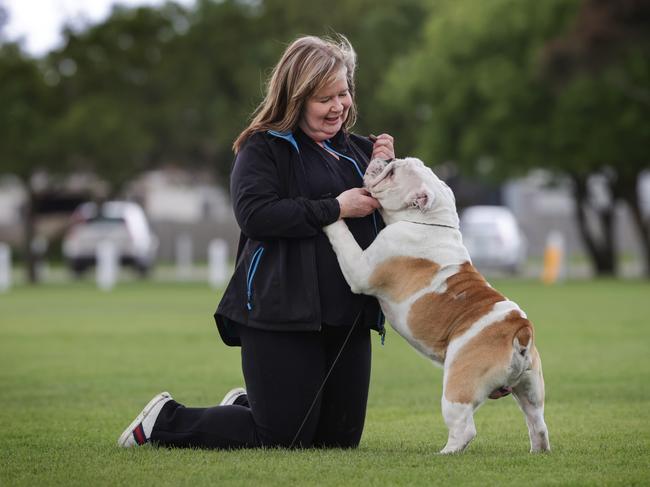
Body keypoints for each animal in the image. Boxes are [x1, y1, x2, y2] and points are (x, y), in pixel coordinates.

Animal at [324, 158, 548, 456]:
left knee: (465, 427)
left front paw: (332, 215)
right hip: (530, 389)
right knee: (537, 422)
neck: (430, 221)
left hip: (457, 387)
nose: (387, 158)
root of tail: (520, 330)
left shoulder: (360, 268)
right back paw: (538, 450)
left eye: (392, 173)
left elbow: (344, 238)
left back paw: (446, 453)